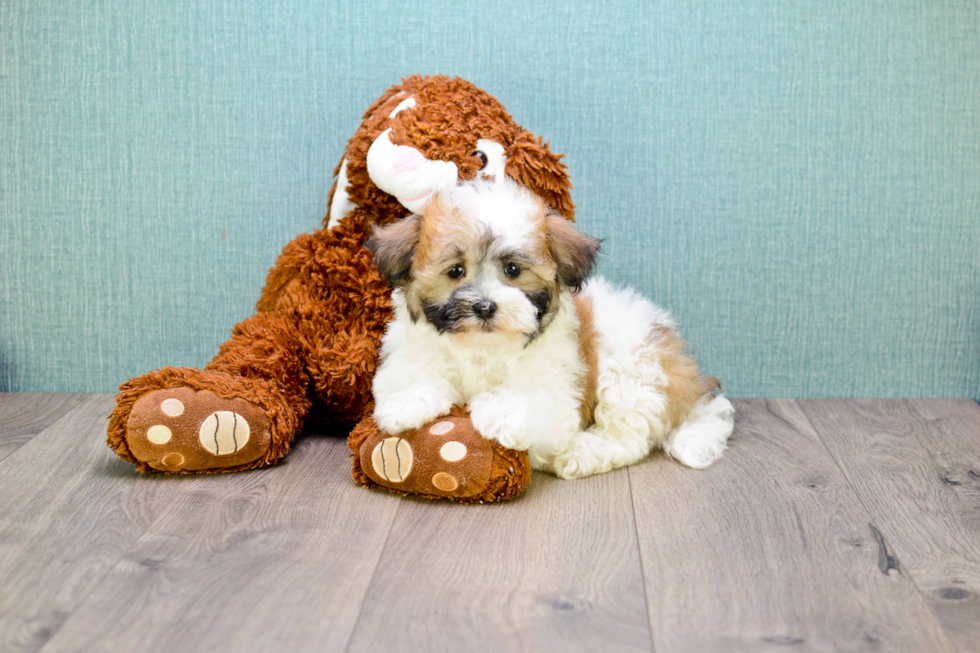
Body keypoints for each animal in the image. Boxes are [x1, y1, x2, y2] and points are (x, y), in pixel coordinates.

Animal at [370, 178, 736, 478]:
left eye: (513, 269)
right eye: (456, 270)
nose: (485, 306)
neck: (483, 349)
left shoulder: (558, 387)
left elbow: (536, 402)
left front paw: (499, 412)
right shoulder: (410, 355)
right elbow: (414, 379)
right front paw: (405, 405)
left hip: (632, 369)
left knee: (628, 437)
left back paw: (582, 454)